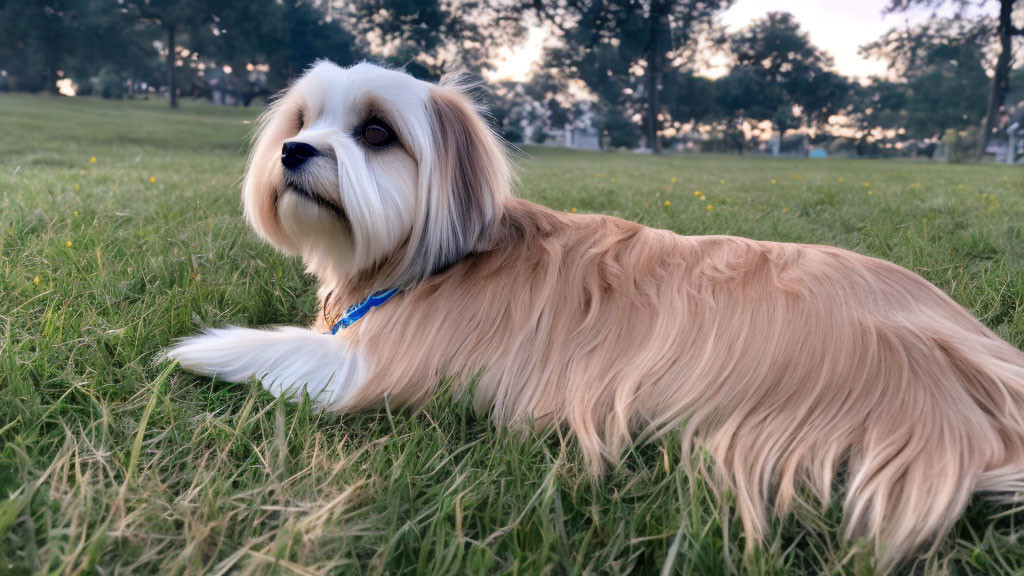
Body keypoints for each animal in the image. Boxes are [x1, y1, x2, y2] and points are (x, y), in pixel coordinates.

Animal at [167, 60, 1024, 565]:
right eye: (301, 121)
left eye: (376, 132)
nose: (293, 152)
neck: (431, 258)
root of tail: (973, 356)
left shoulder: (377, 368)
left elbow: (280, 350)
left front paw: (203, 347)